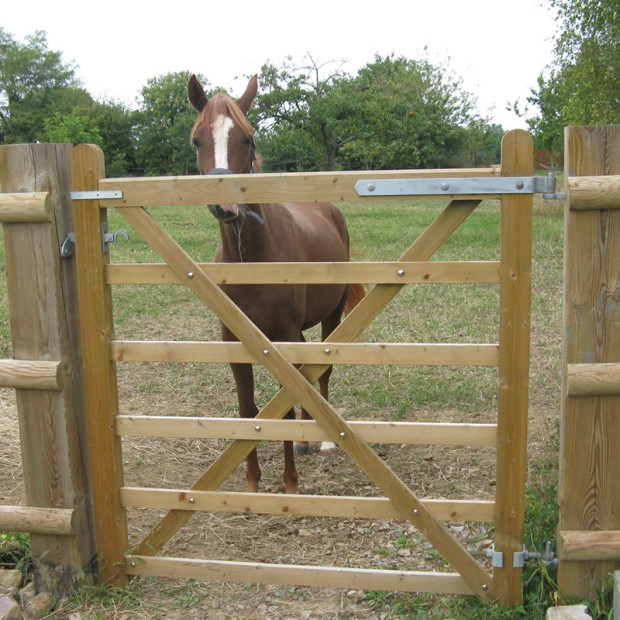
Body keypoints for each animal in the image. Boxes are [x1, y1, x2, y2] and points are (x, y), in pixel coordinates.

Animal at [188, 74, 364, 494]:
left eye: (247, 138)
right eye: (197, 140)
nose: (224, 205)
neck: (252, 261)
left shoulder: (283, 335)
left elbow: (282, 408)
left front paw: (289, 483)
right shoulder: (235, 341)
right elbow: (248, 409)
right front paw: (253, 484)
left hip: (330, 316)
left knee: (320, 373)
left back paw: (323, 441)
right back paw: (304, 437)